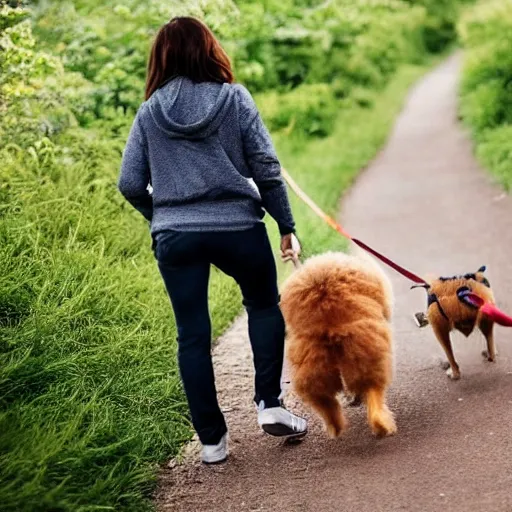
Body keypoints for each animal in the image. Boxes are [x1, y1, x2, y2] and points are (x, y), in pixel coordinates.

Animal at [280, 250, 396, 438]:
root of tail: (329, 328)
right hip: (368, 356)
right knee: (373, 392)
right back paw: (382, 425)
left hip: (314, 369)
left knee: (324, 402)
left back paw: (336, 427)